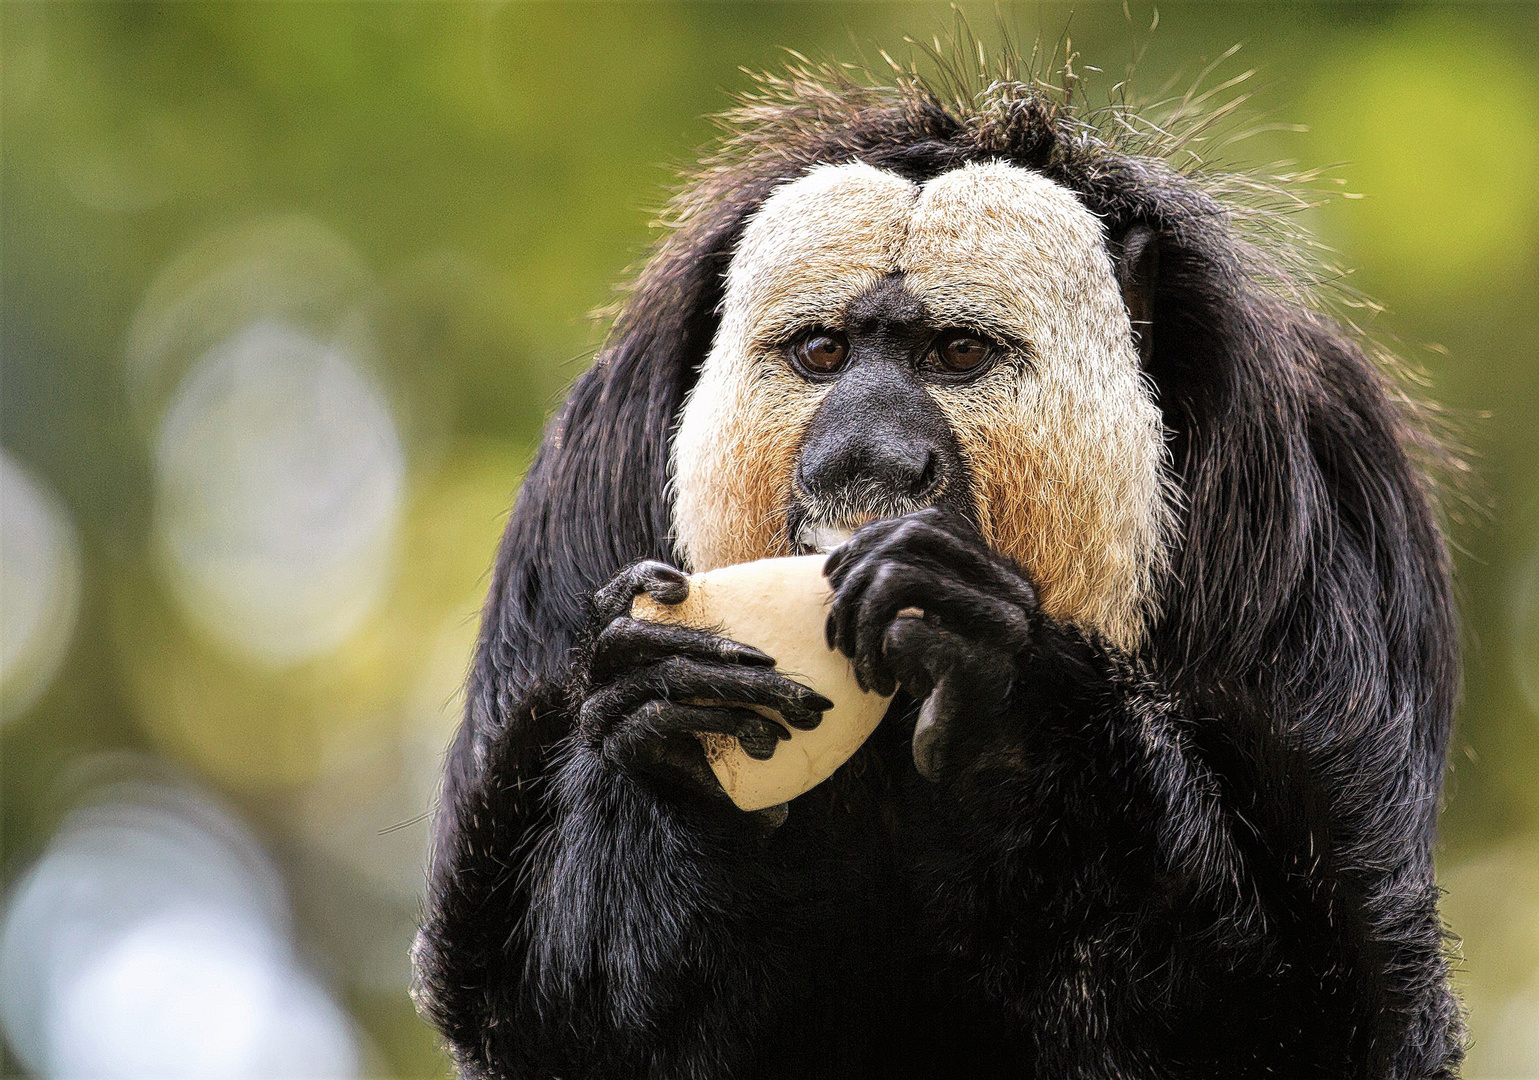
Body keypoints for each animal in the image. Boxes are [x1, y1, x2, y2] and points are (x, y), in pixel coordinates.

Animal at [412, 61, 1465, 1080]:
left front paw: (998, 681)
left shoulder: (1313, 491)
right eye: (823, 351)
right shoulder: (590, 472)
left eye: (956, 352)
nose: (866, 456)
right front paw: (670, 722)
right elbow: (553, 1022)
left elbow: (1317, 1007)